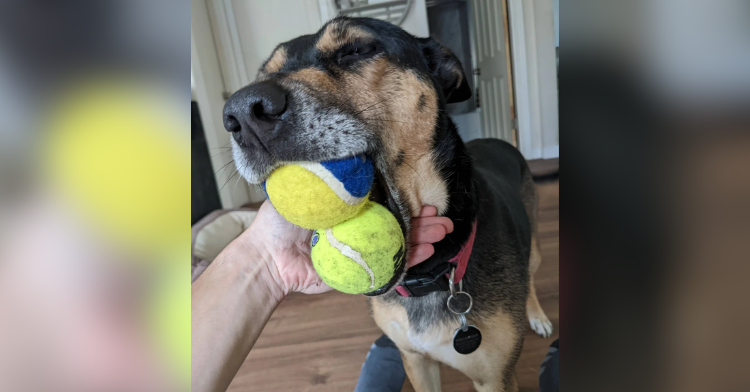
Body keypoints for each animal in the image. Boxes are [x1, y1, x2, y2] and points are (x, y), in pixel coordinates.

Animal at [223, 16, 552, 392]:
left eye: (357, 49)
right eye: (264, 73)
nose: (242, 113)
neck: (428, 275)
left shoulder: (496, 378)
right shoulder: (414, 360)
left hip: (534, 246)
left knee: (531, 276)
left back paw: (537, 315)